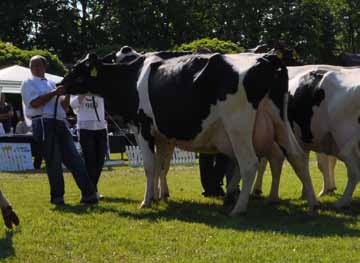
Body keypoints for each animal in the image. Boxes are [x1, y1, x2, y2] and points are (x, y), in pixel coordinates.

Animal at [62, 51, 318, 214]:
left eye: (77, 70)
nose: (60, 85)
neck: (132, 77)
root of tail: (267, 58)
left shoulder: (142, 128)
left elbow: (150, 166)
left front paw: (146, 201)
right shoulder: (163, 136)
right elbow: (162, 165)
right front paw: (161, 195)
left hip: (238, 126)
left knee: (250, 164)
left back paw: (238, 208)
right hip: (278, 121)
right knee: (295, 156)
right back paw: (310, 202)